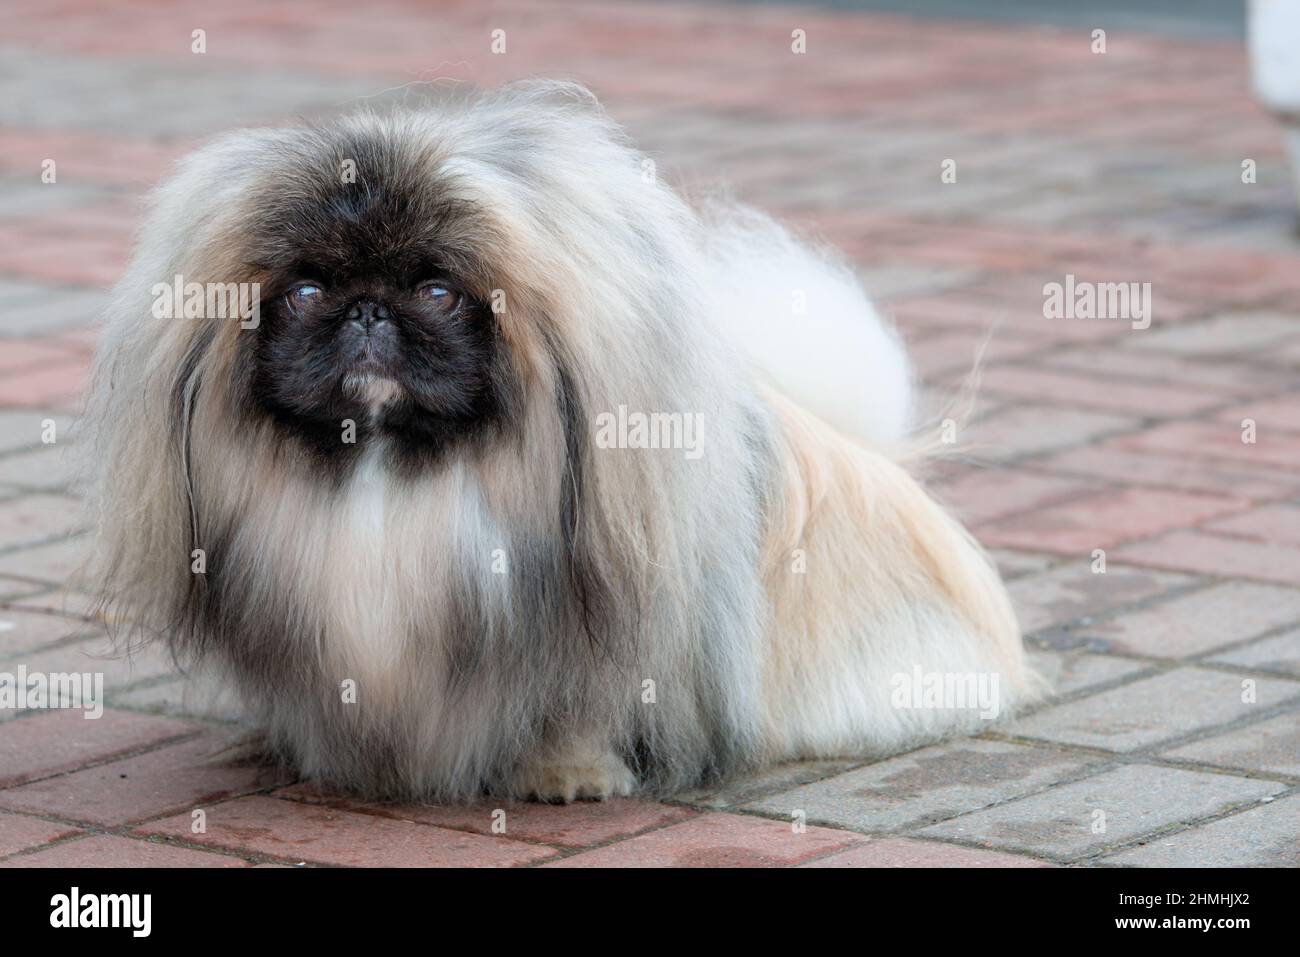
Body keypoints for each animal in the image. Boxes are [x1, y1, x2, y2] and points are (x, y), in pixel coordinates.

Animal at [83, 82, 1034, 806]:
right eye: (308, 289)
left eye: (437, 291)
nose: (367, 310)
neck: (392, 472)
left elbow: (575, 707)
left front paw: (567, 773)